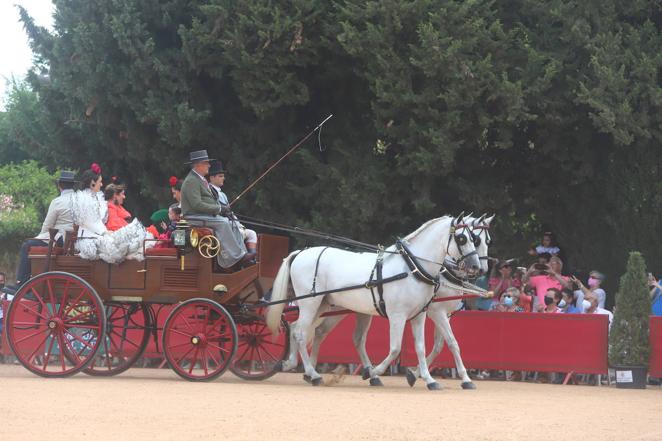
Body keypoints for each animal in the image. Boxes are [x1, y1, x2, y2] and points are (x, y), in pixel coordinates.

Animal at [266, 214, 482, 388]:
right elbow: (395, 348)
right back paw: (313, 374)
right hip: (310, 303)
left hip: (323, 304)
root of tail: (300, 253)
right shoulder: (400, 315)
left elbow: (422, 347)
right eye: (462, 238)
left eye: (474, 239)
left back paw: (293, 364)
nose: (476, 267)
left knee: (301, 329)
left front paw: (428, 379)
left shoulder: (419, 315)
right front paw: (374, 371)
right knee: (301, 333)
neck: (413, 268)